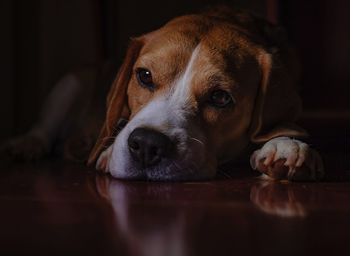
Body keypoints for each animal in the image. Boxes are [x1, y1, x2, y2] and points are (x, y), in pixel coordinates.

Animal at [1, 7, 324, 180]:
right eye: (144, 76)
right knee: (44, 128)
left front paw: (285, 146)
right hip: (71, 81)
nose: (145, 144)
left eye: (220, 97)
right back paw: (27, 144)